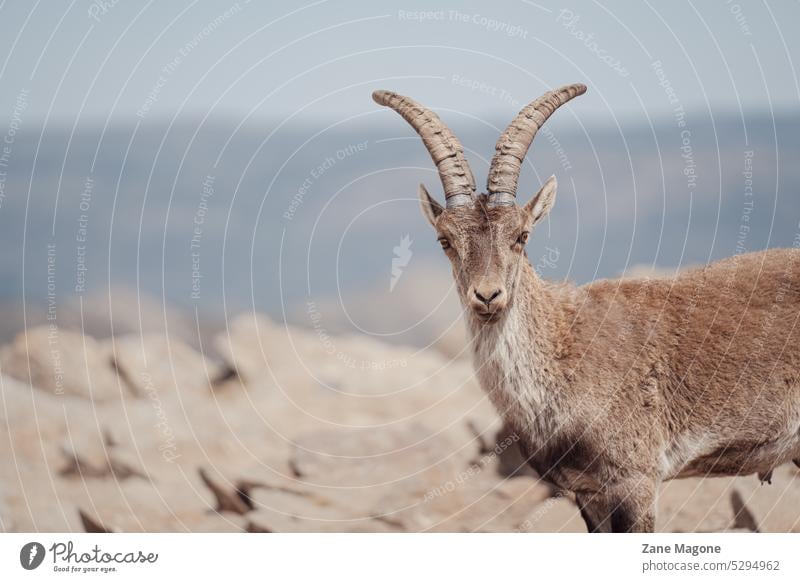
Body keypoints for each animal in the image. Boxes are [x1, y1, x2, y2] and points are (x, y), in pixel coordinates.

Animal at [376, 83, 800, 532]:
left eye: (521, 235)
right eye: (446, 241)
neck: (560, 349)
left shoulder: (636, 479)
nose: (488, 296)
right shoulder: (587, 492)